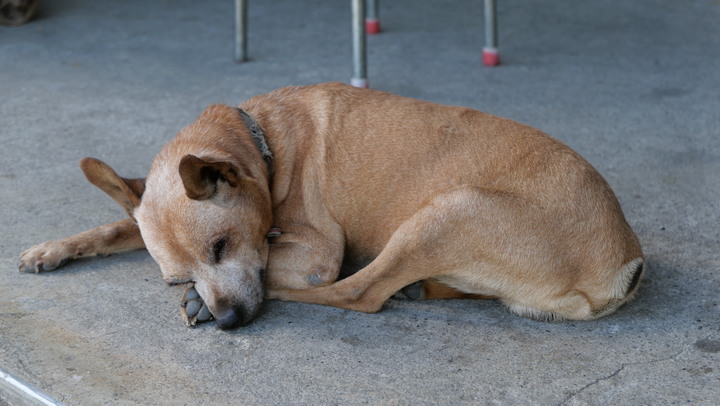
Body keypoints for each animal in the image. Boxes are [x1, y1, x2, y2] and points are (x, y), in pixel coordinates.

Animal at [19, 82, 644, 330]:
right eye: (173, 277)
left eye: (221, 247)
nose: (228, 320)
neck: (262, 144)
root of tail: (625, 263)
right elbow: (110, 226)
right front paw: (52, 248)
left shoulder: (317, 250)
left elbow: (275, 267)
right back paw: (427, 288)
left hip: (448, 210)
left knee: (357, 293)